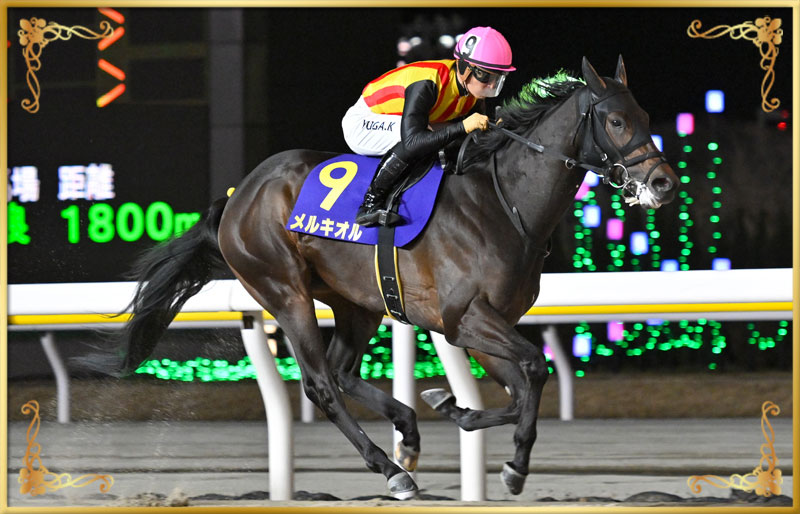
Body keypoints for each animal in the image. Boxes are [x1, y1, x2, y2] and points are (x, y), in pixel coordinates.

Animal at [76, 56, 678, 499]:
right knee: (321, 383)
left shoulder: (488, 322)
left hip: (356, 302)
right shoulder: (464, 319)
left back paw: (407, 432)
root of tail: (237, 196)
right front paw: (514, 466)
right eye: (617, 121)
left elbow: (521, 383)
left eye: (648, 116)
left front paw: (452, 407)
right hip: (283, 291)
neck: (503, 205)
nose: (664, 182)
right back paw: (390, 468)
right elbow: (533, 367)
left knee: (343, 371)